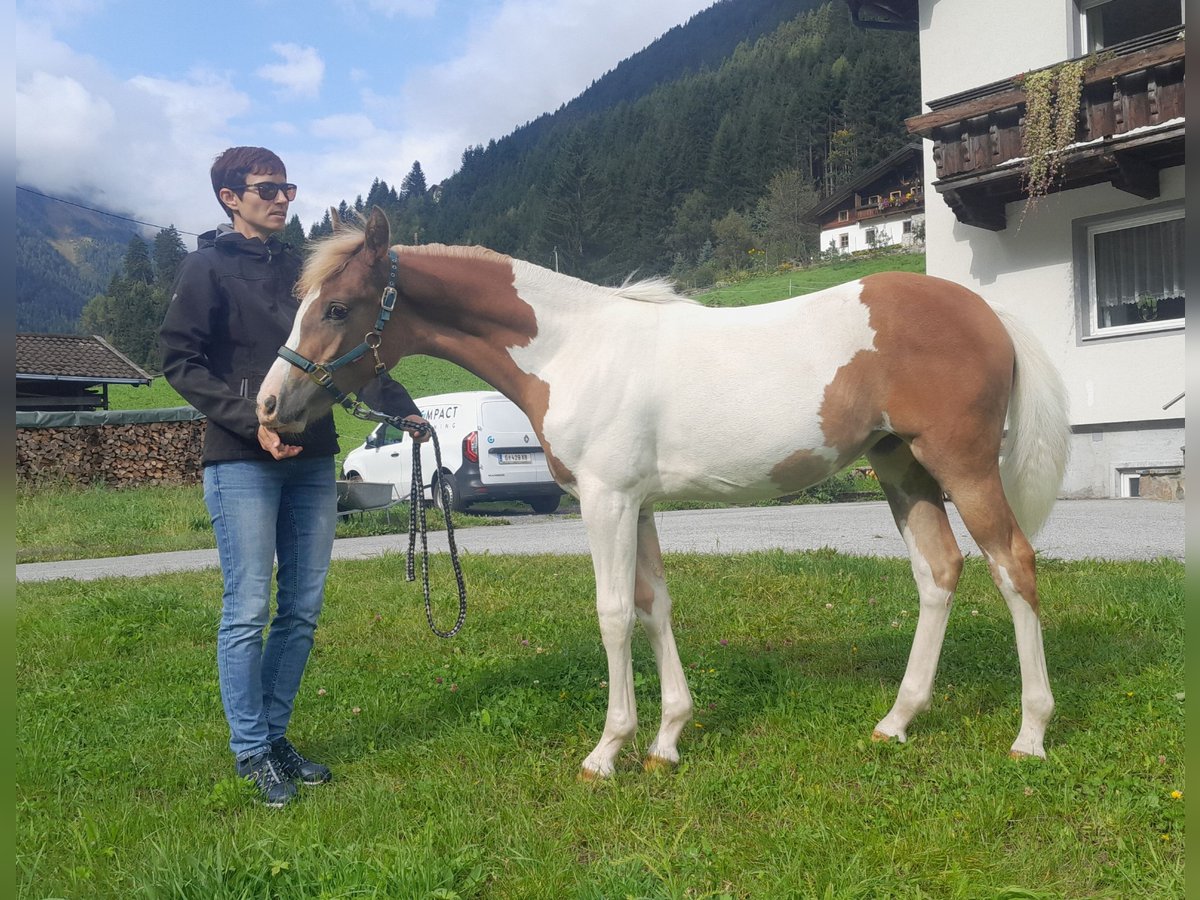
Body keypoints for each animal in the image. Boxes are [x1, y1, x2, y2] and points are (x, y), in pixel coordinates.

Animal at [258, 207, 1070, 779]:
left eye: (337, 307)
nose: (270, 404)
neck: (571, 348)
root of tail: (988, 311)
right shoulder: (638, 504)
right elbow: (656, 606)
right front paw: (667, 739)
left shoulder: (606, 500)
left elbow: (615, 613)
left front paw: (607, 751)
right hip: (902, 469)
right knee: (939, 572)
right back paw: (898, 721)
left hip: (963, 467)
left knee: (1014, 565)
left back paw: (1031, 732)